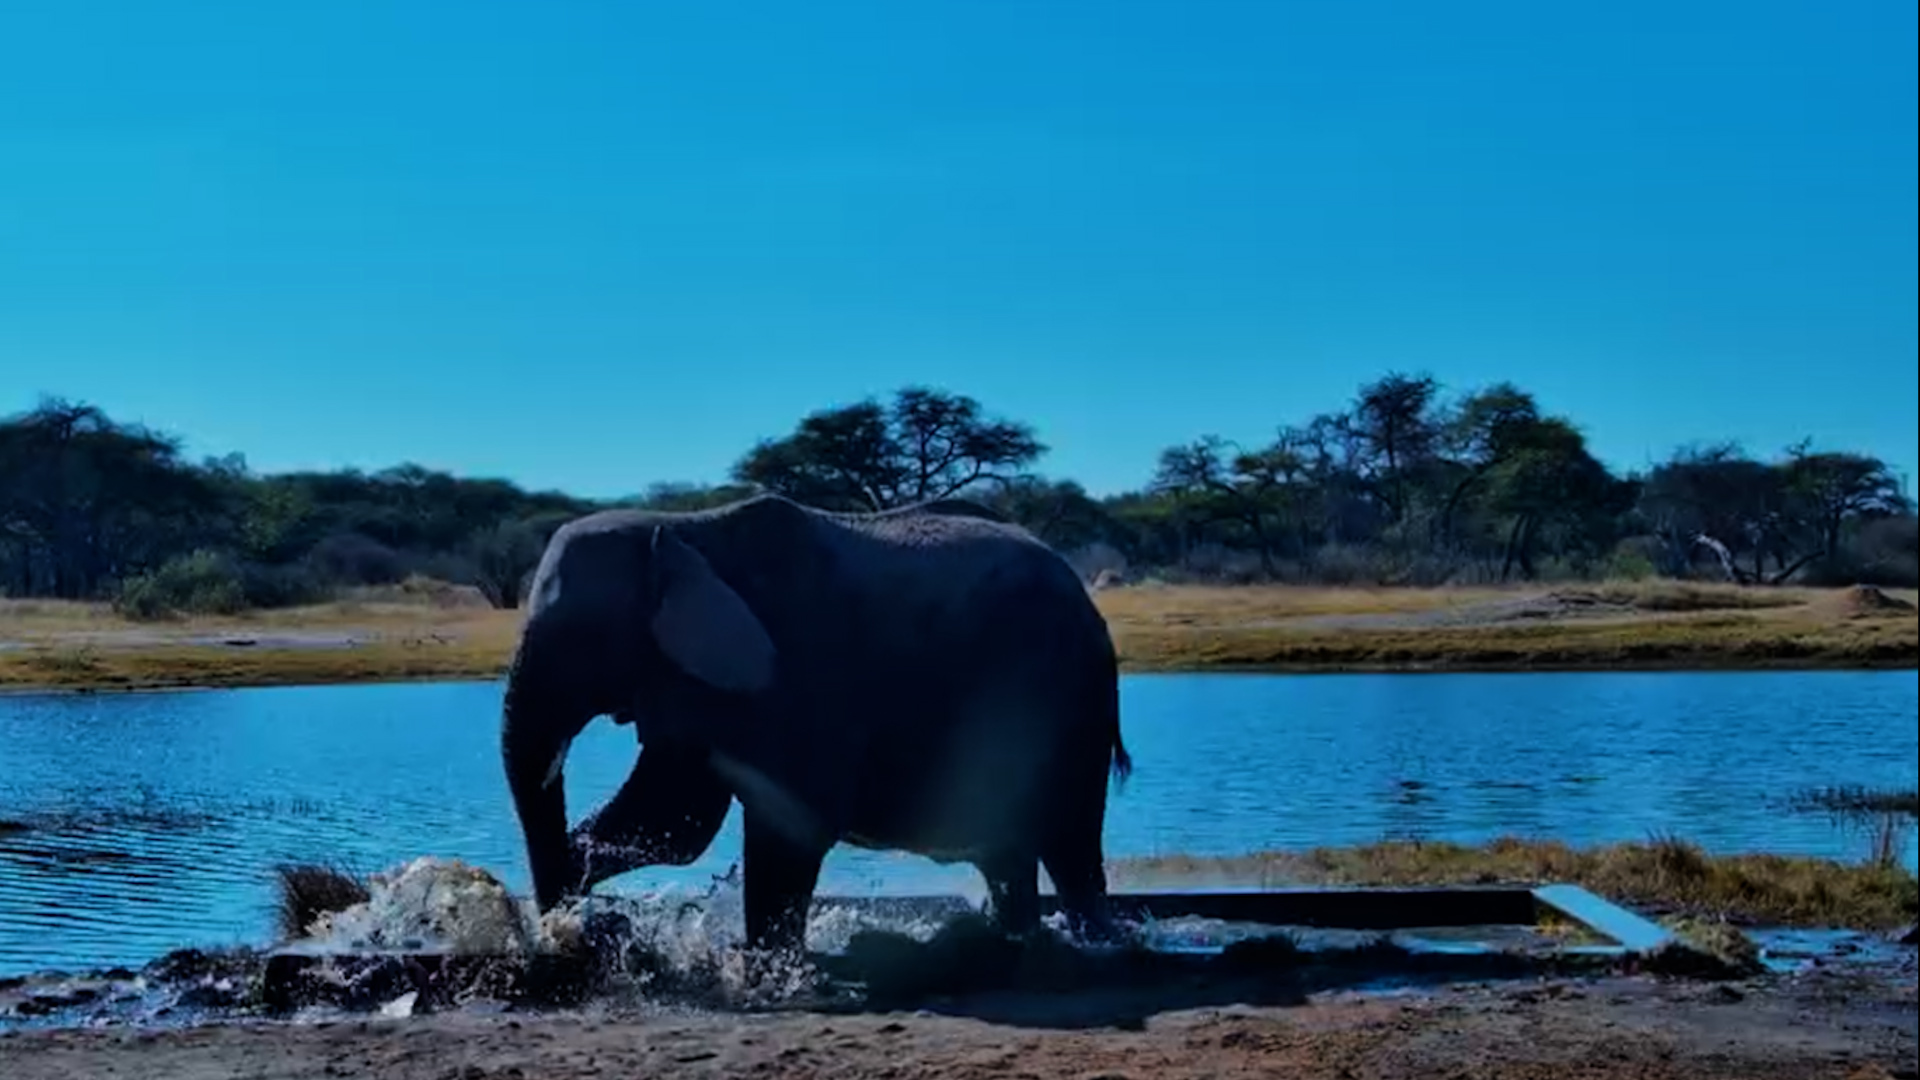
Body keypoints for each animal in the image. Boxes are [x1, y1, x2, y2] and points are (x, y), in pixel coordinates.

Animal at [499, 492, 1133, 957]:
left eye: (581, 639)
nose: (567, 934)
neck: (682, 531)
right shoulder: (686, 681)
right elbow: (673, 822)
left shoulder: (804, 675)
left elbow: (788, 828)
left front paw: (765, 970)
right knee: (1011, 858)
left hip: (1072, 698)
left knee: (1071, 846)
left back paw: (1098, 943)